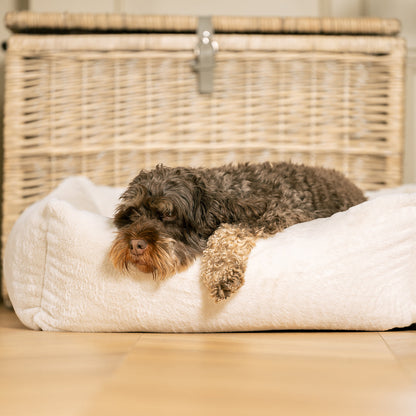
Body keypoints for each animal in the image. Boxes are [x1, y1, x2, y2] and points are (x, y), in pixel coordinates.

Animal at [109, 161, 366, 300]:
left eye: (169, 214)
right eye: (133, 214)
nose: (135, 245)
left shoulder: (282, 212)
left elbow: (228, 231)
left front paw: (221, 273)